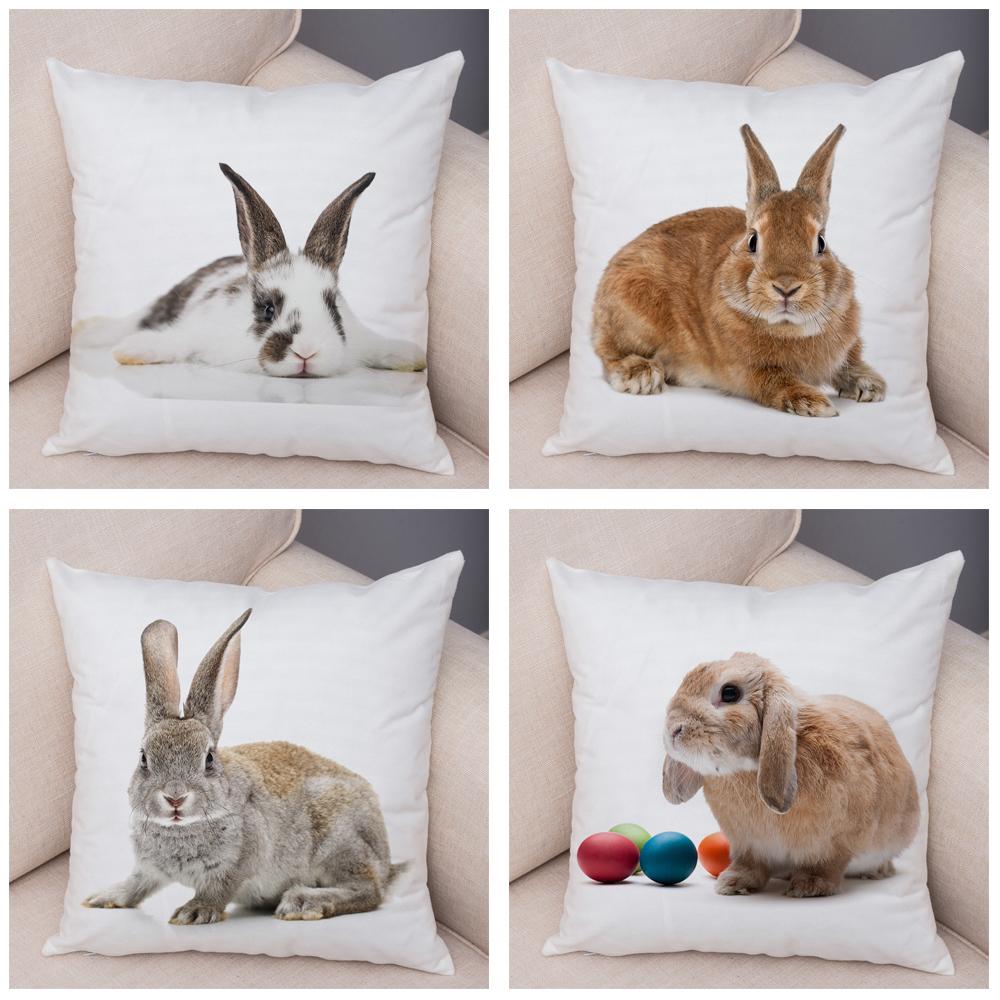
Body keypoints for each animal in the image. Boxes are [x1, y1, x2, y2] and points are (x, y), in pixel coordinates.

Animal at [79, 165, 426, 378]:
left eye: (334, 308)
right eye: (268, 309)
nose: (306, 352)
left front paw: (412, 356)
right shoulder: (199, 328)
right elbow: (177, 340)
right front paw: (132, 351)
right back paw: (89, 328)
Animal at [82, 610, 405, 924]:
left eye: (209, 759)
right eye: (144, 758)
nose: (175, 797)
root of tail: (385, 859)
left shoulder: (241, 859)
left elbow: (217, 888)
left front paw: (193, 912)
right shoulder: (149, 870)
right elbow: (136, 885)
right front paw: (101, 898)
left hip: (340, 843)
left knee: (368, 891)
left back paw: (303, 902)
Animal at [592, 124, 886, 416]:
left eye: (821, 242)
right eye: (753, 240)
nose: (786, 287)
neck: (789, 328)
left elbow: (848, 364)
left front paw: (871, 386)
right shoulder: (748, 371)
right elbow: (775, 382)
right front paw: (815, 403)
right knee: (609, 355)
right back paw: (641, 375)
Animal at [661, 652, 918, 898]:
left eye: (730, 693)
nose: (673, 730)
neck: (743, 769)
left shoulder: (833, 842)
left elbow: (826, 864)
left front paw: (810, 886)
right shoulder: (749, 845)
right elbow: (751, 866)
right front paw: (732, 883)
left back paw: (876, 871)